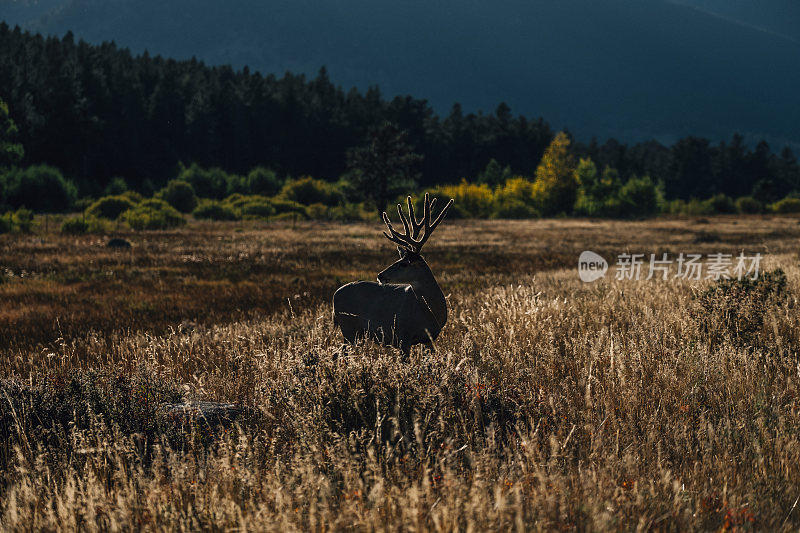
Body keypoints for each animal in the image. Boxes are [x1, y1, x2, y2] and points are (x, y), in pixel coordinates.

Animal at [332, 193, 456, 356]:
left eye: (403, 263)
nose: (380, 275)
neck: (429, 312)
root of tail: (334, 295)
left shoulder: (430, 339)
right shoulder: (403, 335)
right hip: (348, 327)